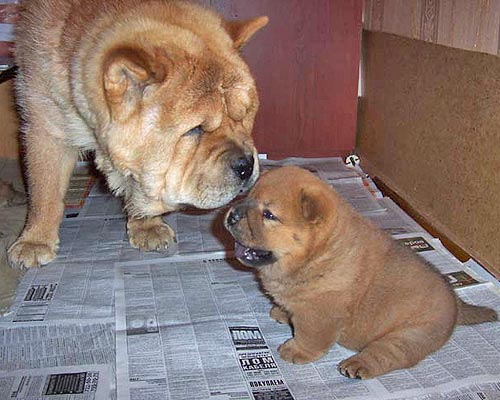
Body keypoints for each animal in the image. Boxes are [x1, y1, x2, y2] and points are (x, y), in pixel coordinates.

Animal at [9, 0, 268, 268]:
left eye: (244, 115)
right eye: (196, 129)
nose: (246, 165)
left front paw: (147, 227)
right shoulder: (45, 128)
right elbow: (45, 191)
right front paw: (35, 242)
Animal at [226, 167, 496, 380]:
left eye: (269, 215)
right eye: (247, 198)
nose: (230, 215)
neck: (317, 254)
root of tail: (456, 302)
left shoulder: (321, 313)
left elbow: (310, 336)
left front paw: (295, 350)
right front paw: (281, 312)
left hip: (411, 334)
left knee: (389, 355)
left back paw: (356, 365)